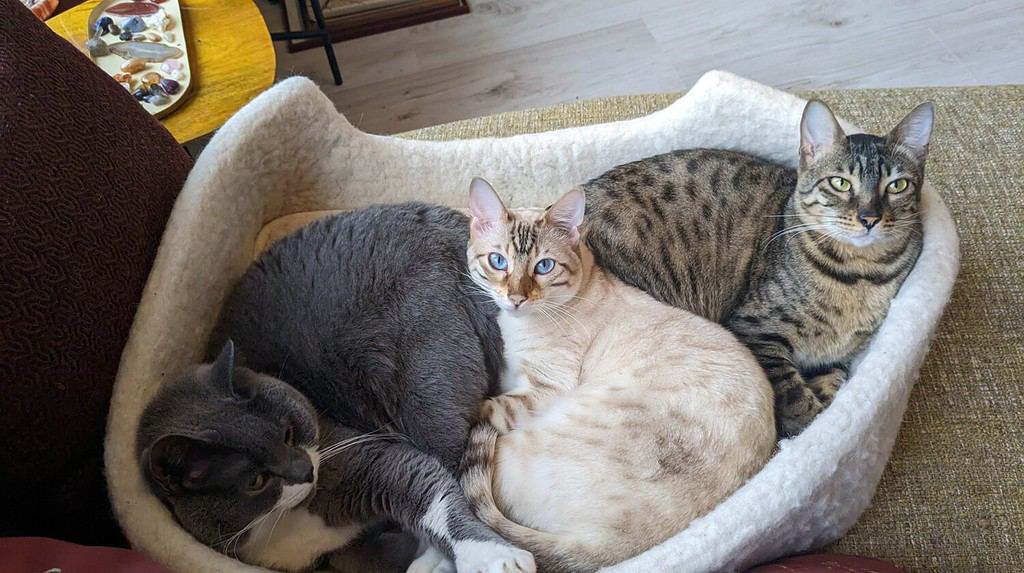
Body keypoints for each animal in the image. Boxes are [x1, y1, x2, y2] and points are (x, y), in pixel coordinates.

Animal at [137, 204, 536, 573]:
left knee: (457, 469)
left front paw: (495, 557)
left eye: (287, 432)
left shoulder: (373, 457)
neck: (282, 524)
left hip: (425, 384)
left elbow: (434, 496)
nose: (304, 472)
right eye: (254, 481)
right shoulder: (335, 555)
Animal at [581, 99, 933, 437]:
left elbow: (834, 377)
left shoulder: (835, 356)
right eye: (840, 183)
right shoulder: (755, 329)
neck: (860, 275)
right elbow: (794, 396)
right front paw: (804, 425)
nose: (869, 217)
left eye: (897, 185)